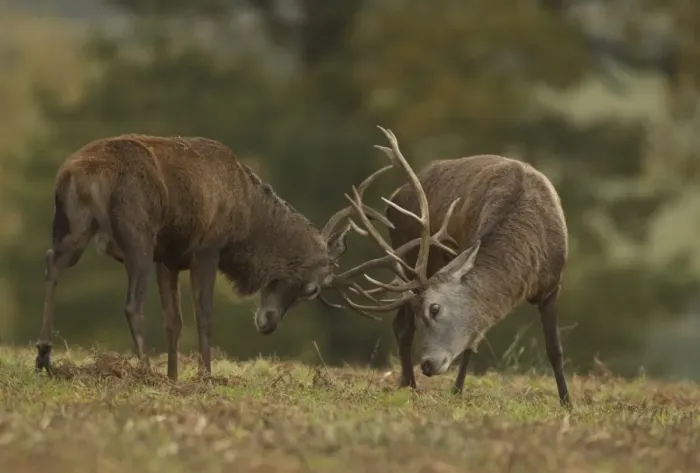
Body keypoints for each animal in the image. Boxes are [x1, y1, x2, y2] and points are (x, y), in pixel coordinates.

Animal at [36, 134, 393, 380]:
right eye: (312, 289)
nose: (269, 324)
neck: (248, 219)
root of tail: (77, 173)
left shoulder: (168, 258)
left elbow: (174, 321)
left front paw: (174, 376)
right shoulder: (207, 249)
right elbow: (203, 315)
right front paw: (205, 375)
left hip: (73, 225)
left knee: (52, 263)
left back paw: (44, 356)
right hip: (137, 233)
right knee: (131, 304)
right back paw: (144, 371)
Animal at [318, 126, 572, 407]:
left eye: (435, 308)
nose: (428, 365)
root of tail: (395, 197)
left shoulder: (552, 285)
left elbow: (554, 349)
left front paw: (567, 401)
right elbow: (470, 344)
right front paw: (456, 392)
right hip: (408, 253)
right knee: (401, 325)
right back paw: (409, 385)